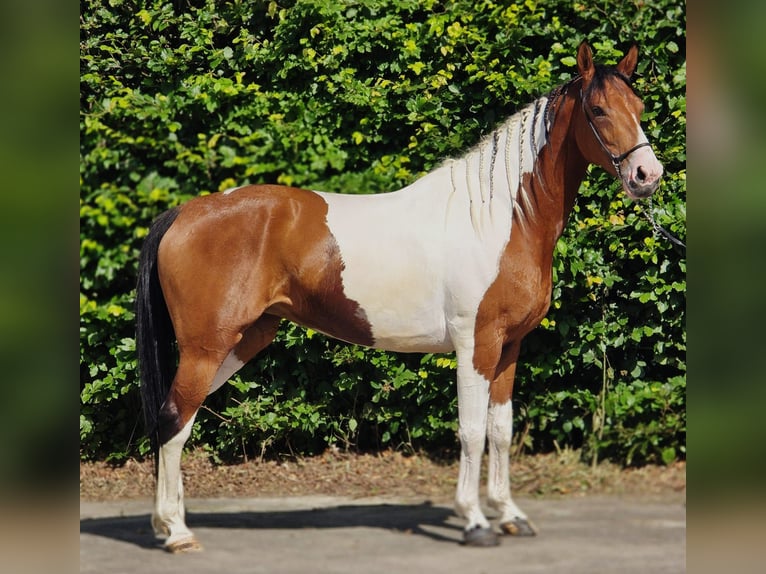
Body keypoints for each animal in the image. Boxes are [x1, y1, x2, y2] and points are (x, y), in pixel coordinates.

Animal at [136, 41, 663, 552]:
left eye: (639, 106)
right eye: (597, 109)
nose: (647, 174)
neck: (498, 217)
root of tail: (185, 212)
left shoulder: (509, 348)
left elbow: (501, 431)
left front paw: (510, 515)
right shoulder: (476, 346)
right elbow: (472, 431)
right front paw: (476, 522)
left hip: (241, 341)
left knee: (176, 420)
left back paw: (170, 524)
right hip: (207, 348)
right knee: (174, 419)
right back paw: (176, 532)